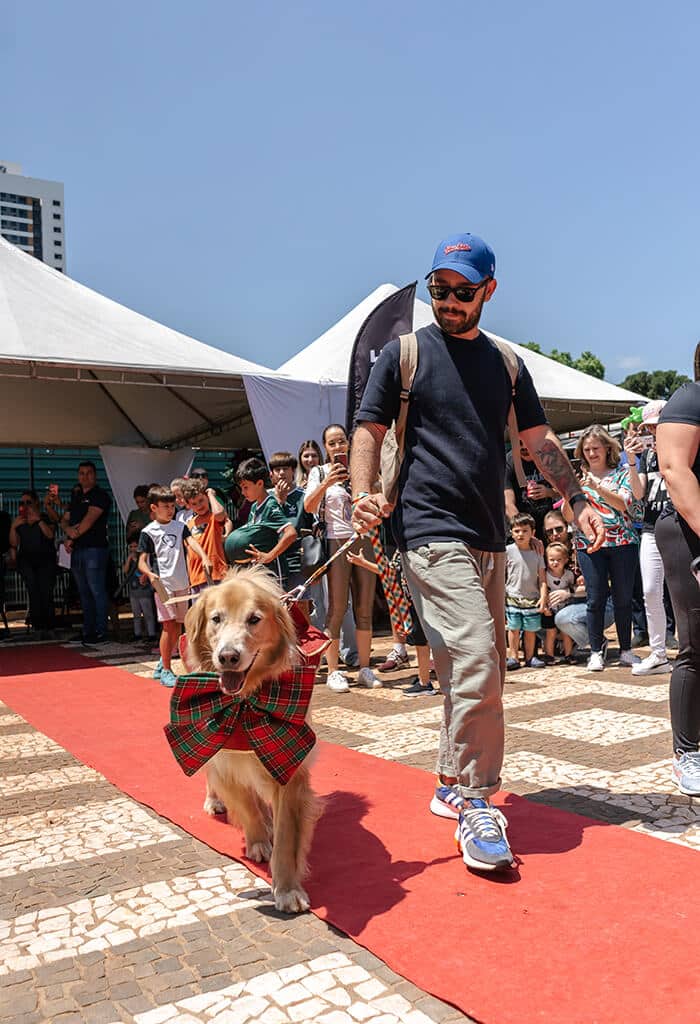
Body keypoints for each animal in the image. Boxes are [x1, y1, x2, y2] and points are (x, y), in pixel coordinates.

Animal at [182, 569, 321, 913]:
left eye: (254, 619)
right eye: (216, 619)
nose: (228, 656)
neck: (247, 702)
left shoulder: (288, 765)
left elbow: (286, 836)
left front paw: (286, 888)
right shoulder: (225, 759)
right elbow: (245, 804)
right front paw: (258, 839)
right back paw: (215, 801)